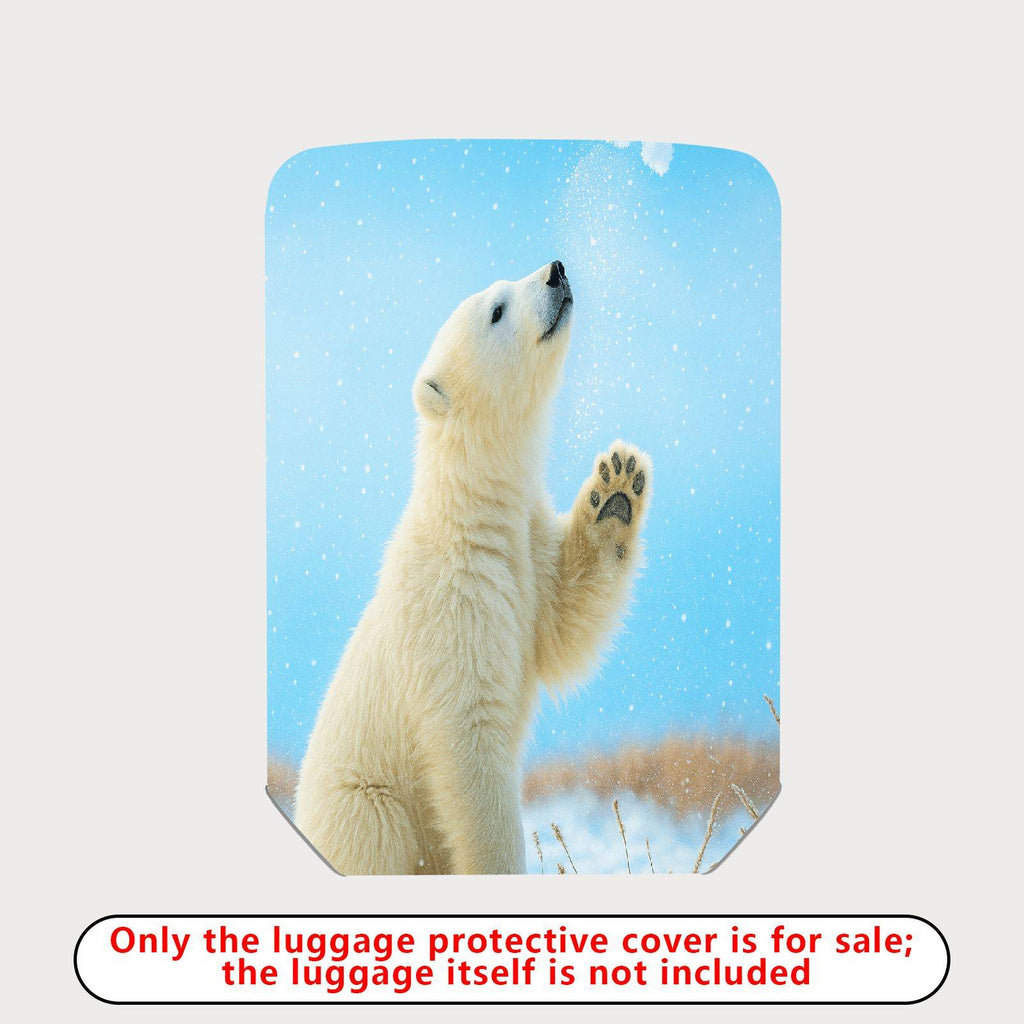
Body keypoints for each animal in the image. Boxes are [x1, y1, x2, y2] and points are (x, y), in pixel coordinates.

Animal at [293, 260, 652, 875]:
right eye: (497, 310)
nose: (556, 270)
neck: (472, 511)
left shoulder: (528, 556)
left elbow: (565, 620)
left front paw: (616, 488)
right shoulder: (452, 600)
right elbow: (471, 742)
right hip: (364, 804)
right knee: (378, 840)